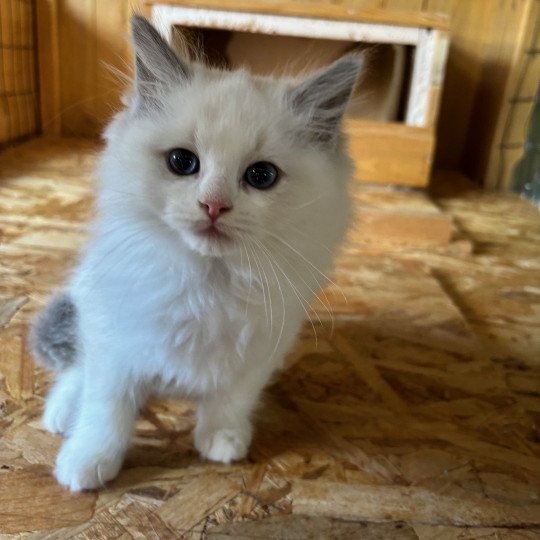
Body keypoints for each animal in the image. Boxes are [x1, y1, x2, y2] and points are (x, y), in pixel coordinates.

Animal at [27, 14, 360, 492]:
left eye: (261, 176)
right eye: (183, 163)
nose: (214, 206)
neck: (209, 280)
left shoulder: (260, 349)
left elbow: (231, 400)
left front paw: (221, 440)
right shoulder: (118, 343)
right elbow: (107, 409)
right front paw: (88, 462)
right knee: (78, 370)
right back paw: (61, 414)